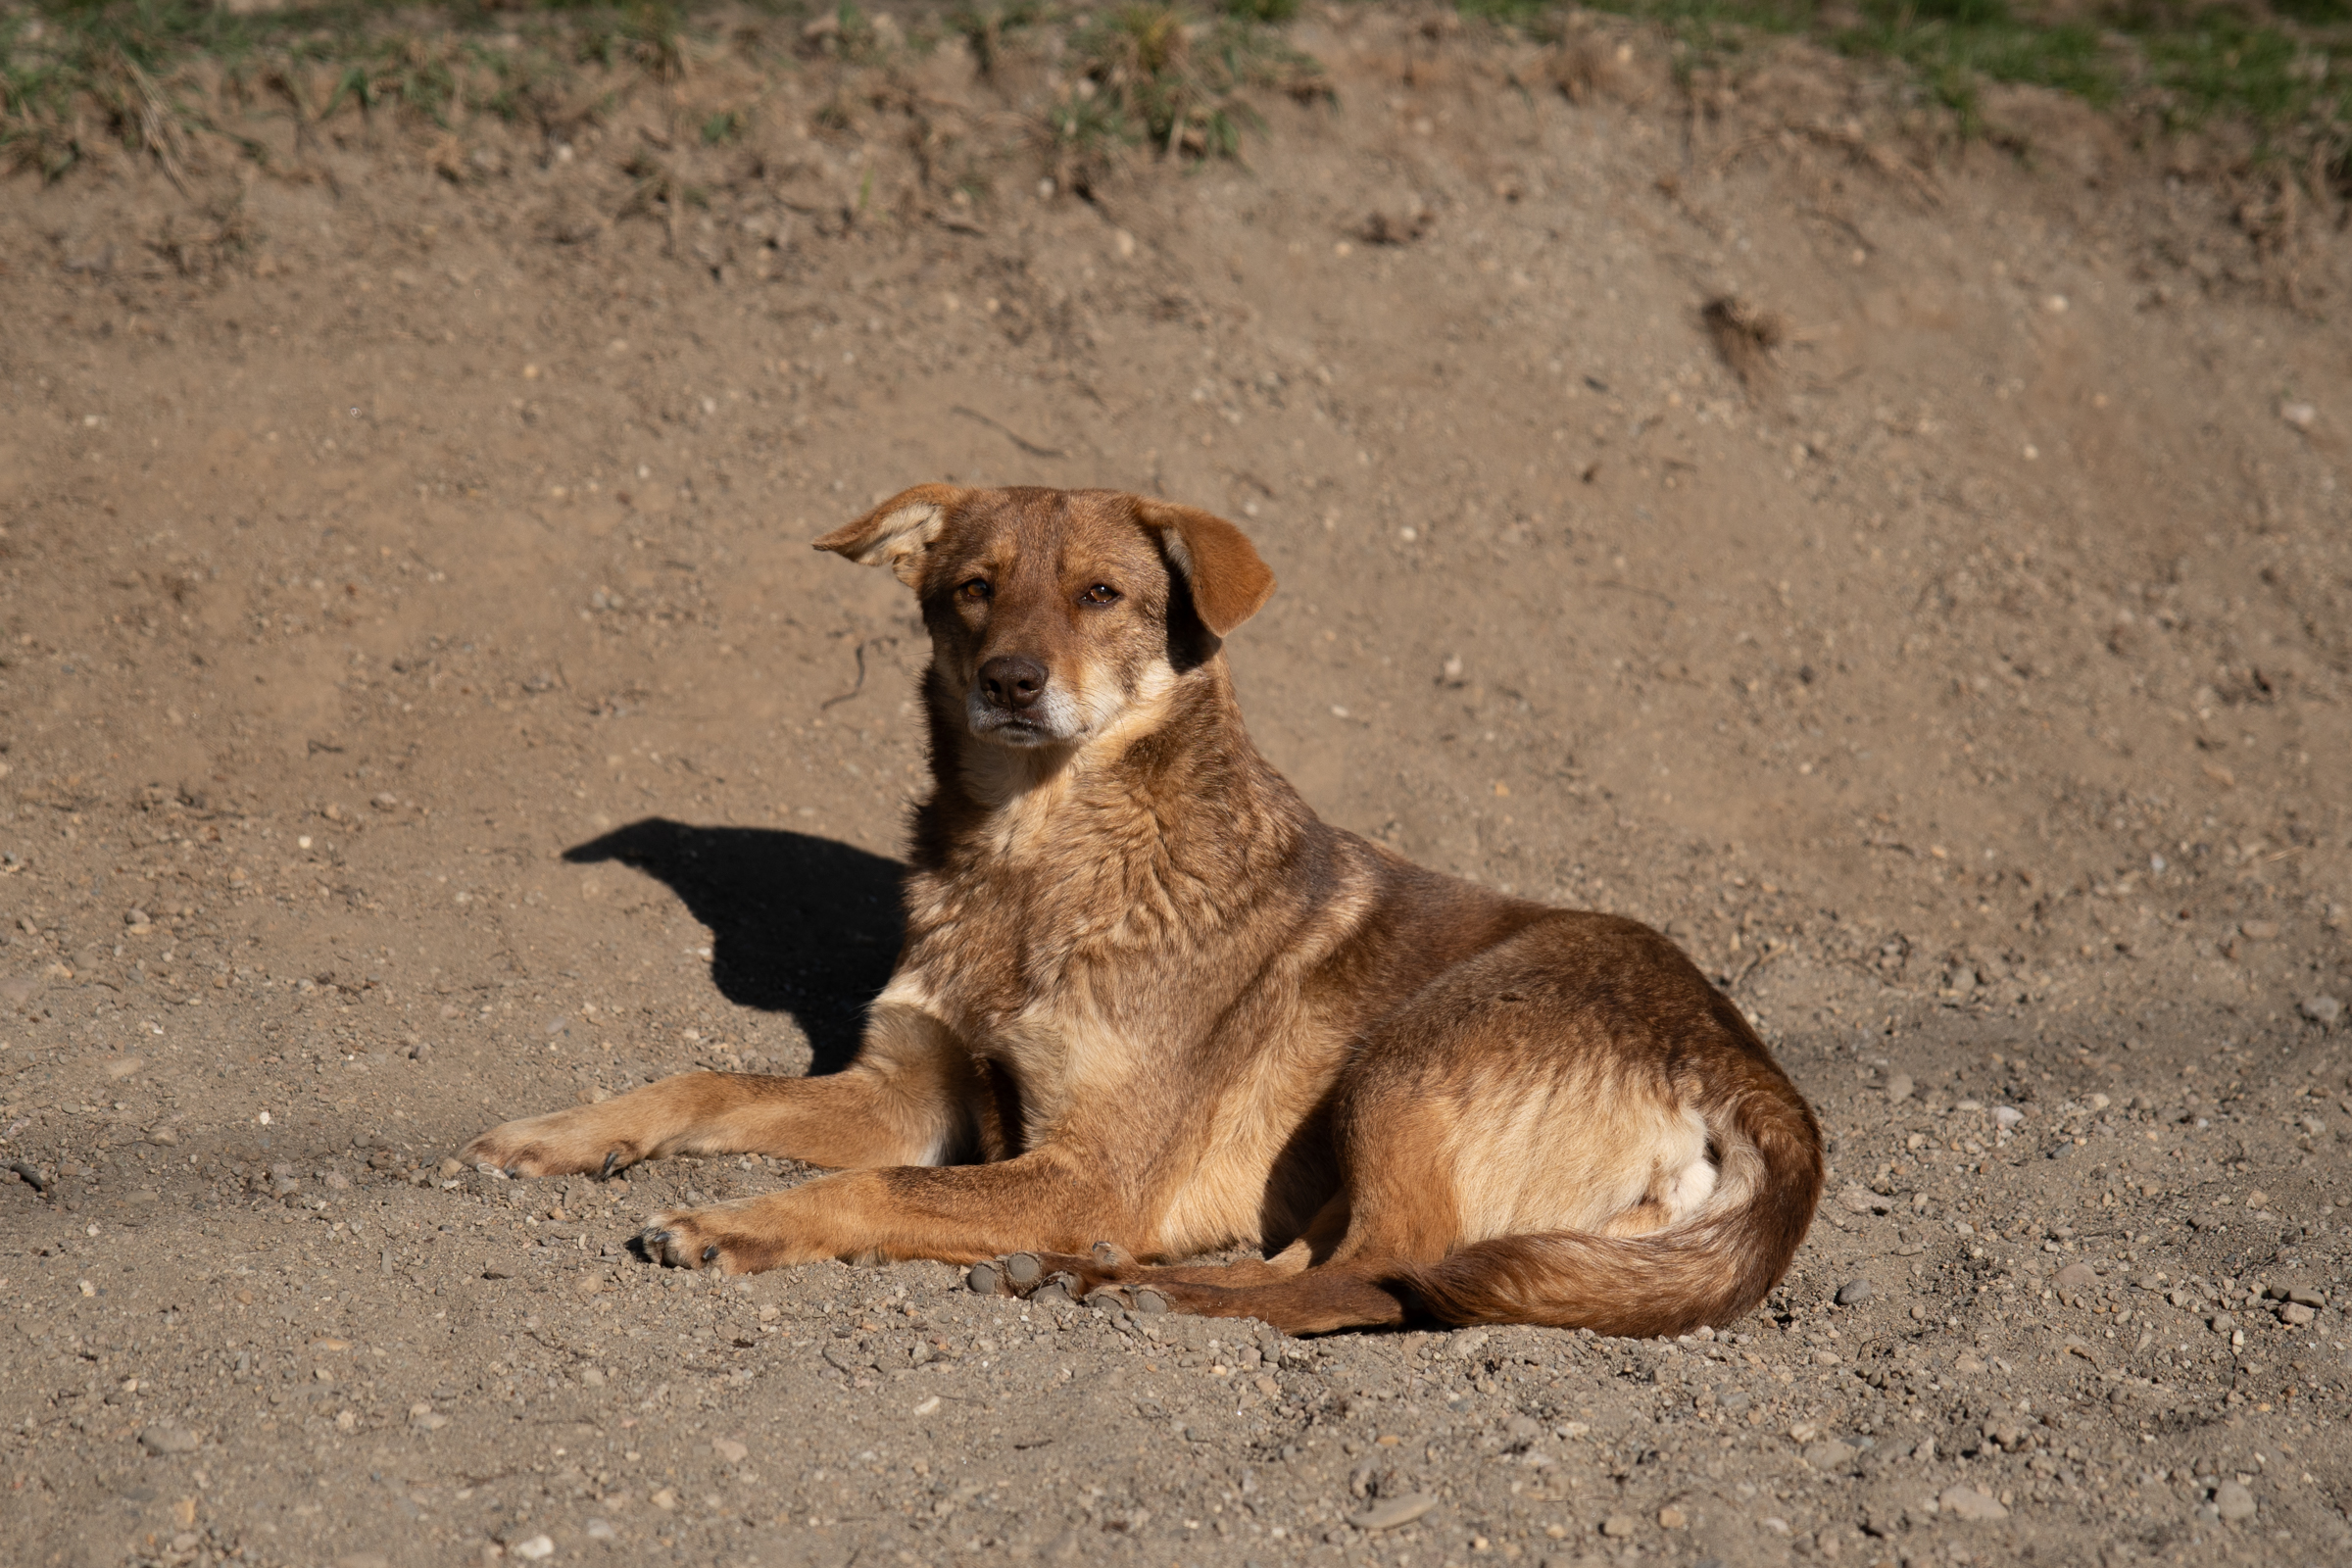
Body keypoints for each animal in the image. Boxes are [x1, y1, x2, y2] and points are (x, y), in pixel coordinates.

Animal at [459, 484, 1815, 1335]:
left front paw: (733, 1221)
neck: (1033, 858)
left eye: (1103, 594)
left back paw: (1151, 1293)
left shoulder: (1086, 1170)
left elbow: (881, 1192)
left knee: (1374, 1278)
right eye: (971, 588)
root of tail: (1758, 1082)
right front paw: (566, 1133)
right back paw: (1069, 1275)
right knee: (1325, 1259)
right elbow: (704, 1083)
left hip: (1402, 1060)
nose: (1011, 681)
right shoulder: (907, 1091)